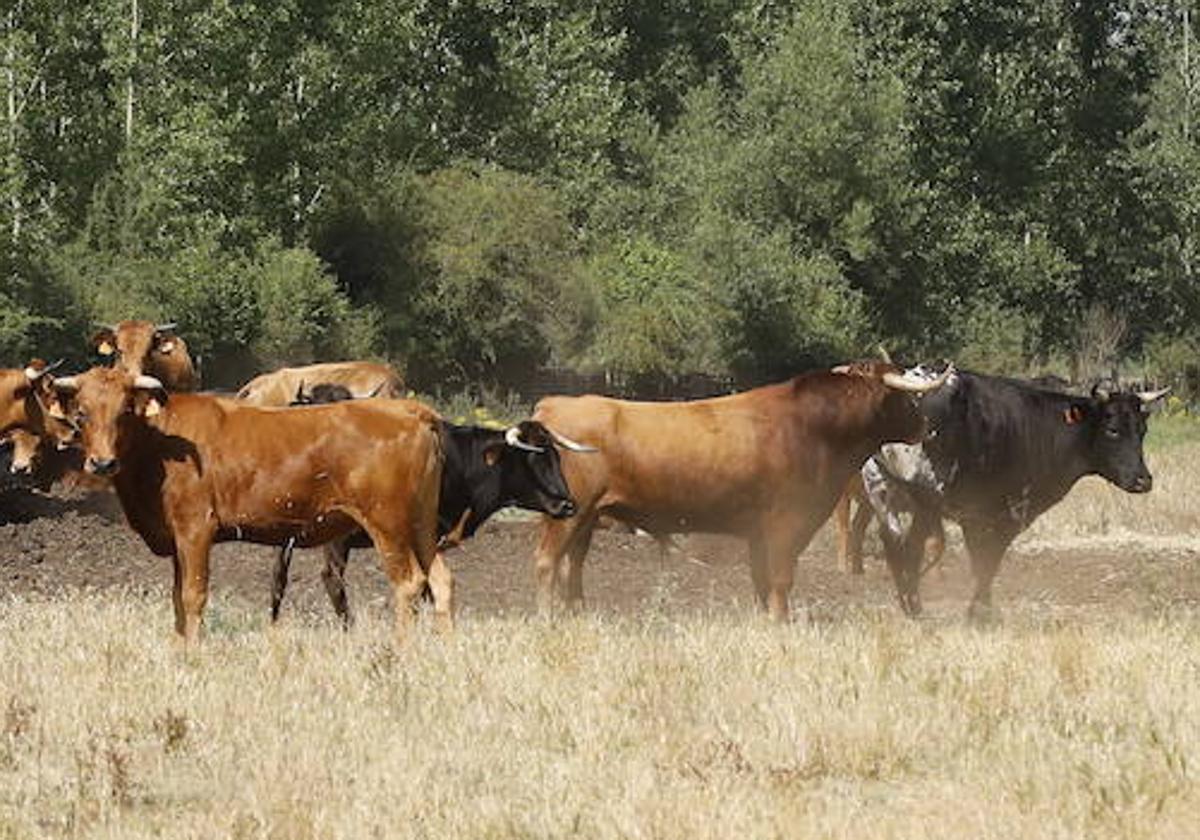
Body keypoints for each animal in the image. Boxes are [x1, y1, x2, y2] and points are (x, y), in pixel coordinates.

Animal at [49, 367, 448, 643]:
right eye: (81, 413)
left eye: (125, 412)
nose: (102, 463)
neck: (160, 441)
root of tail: (409, 410)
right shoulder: (177, 538)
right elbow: (177, 600)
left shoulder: (196, 529)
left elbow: (193, 596)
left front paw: (192, 655)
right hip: (422, 525)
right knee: (440, 579)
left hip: (388, 524)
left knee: (409, 583)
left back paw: (401, 650)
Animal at [530, 362, 950, 624]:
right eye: (905, 399)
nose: (927, 426)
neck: (814, 428)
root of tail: (551, 406)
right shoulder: (786, 524)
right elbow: (780, 578)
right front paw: (781, 621)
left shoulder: (759, 533)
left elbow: (761, 581)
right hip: (569, 516)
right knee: (549, 562)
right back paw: (547, 617)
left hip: (586, 519)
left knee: (572, 565)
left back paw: (577, 612)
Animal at [868, 369, 1166, 619]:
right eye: (1112, 430)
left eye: (1142, 430)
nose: (1143, 480)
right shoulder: (1003, 513)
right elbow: (988, 560)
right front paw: (980, 611)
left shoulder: (977, 516)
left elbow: (982, 560)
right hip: (925, 500)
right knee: (911, 546)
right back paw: (915, 606)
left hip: (881, 489)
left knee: (894, 543)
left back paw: (909, 604)